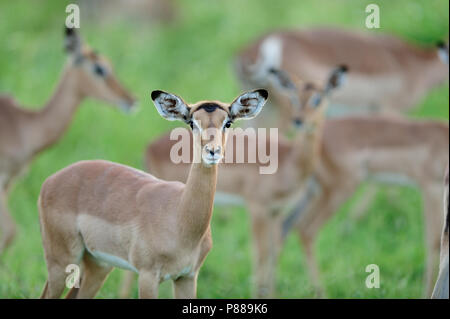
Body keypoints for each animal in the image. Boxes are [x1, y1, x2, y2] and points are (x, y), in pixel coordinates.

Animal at [38, 89, 268, 298]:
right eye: (192, 122)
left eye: (227, 122)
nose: (212, 151)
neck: (181, 219)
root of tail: (51, 181)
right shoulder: (148, 276)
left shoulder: (187, 277)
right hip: (61, 262)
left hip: (97, 265)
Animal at [116, 66, 348, 298]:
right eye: (293, 97)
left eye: (319, 98)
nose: (299, 120)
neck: (289, 160)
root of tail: (149, 147)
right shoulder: (257, 208)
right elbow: (260, 252)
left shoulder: (276, 211)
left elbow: (273, 250)